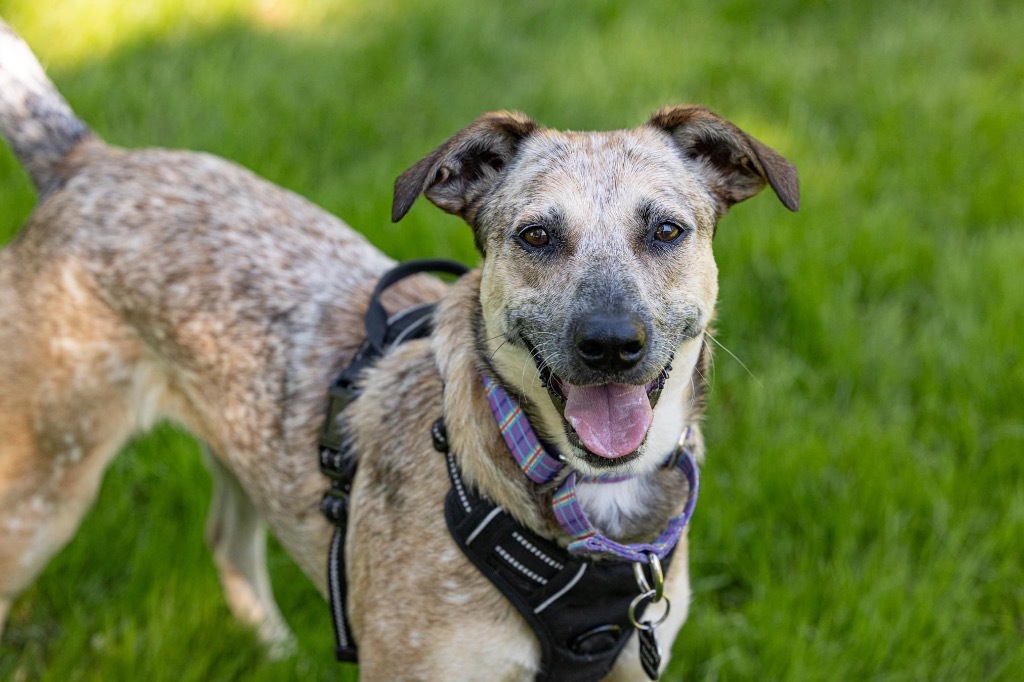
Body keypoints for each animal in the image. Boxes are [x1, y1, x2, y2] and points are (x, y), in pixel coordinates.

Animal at [0, 18, 798, 675]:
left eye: (665, 230)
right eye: (536, 235)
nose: (609, 344)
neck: (592, 502)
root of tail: (86, 162)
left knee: (225, 538)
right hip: (41, 488)